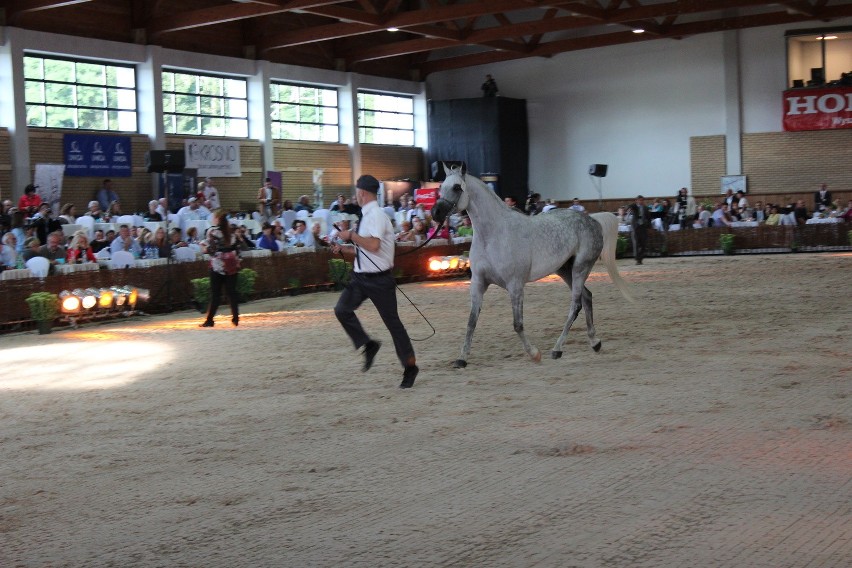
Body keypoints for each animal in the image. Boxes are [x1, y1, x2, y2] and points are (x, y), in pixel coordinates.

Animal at [432, 164, 632, 368]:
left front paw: (535, 354)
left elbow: (517, 324)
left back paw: (557, 349)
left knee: (576, 304)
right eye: (440, 187)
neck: (494, 235)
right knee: (587, 297)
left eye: (457, 187)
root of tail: (593, 220)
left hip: (580, 269)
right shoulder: (478, 283)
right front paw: (462, 359)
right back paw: (594, 342)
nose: (435, 213)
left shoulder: (515, 285)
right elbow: (471, 321)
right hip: (564, 270)